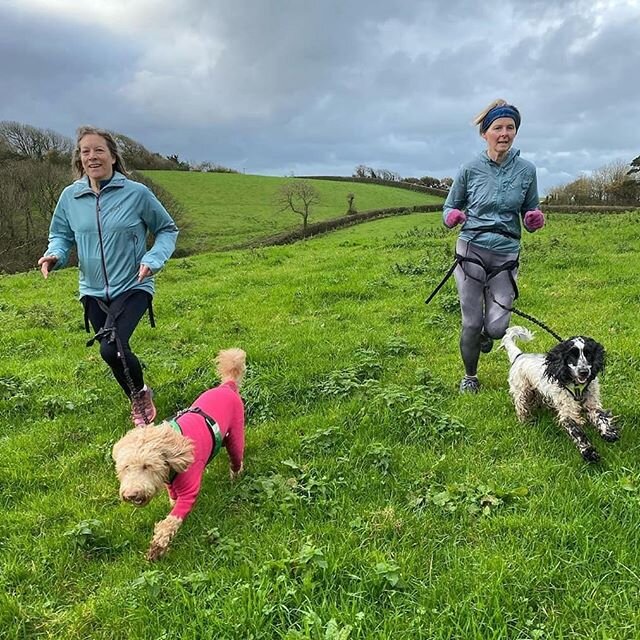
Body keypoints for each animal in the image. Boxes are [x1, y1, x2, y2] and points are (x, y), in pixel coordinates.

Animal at [112, 348, 248, 556]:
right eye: (126, 467)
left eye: (147, 466)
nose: (132, 494)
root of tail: (227, 385)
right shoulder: (172, 488)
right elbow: (172, 502)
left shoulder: (188, 490)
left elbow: (171, 521)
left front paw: (158, 545)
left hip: (235, 435)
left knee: (236, 458)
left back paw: (236, 476)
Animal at [502, 328, 616, 462]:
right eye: (572, 355)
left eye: (588, 354)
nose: (584, 372)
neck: (577, 386)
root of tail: (519, 356)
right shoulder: (568, 412)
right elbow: (577, 432)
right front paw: (589, 452)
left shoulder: (592, 404)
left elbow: (601, 417)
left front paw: (609, 433)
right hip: (522, 392)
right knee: (521, 408)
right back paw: (526, 422)